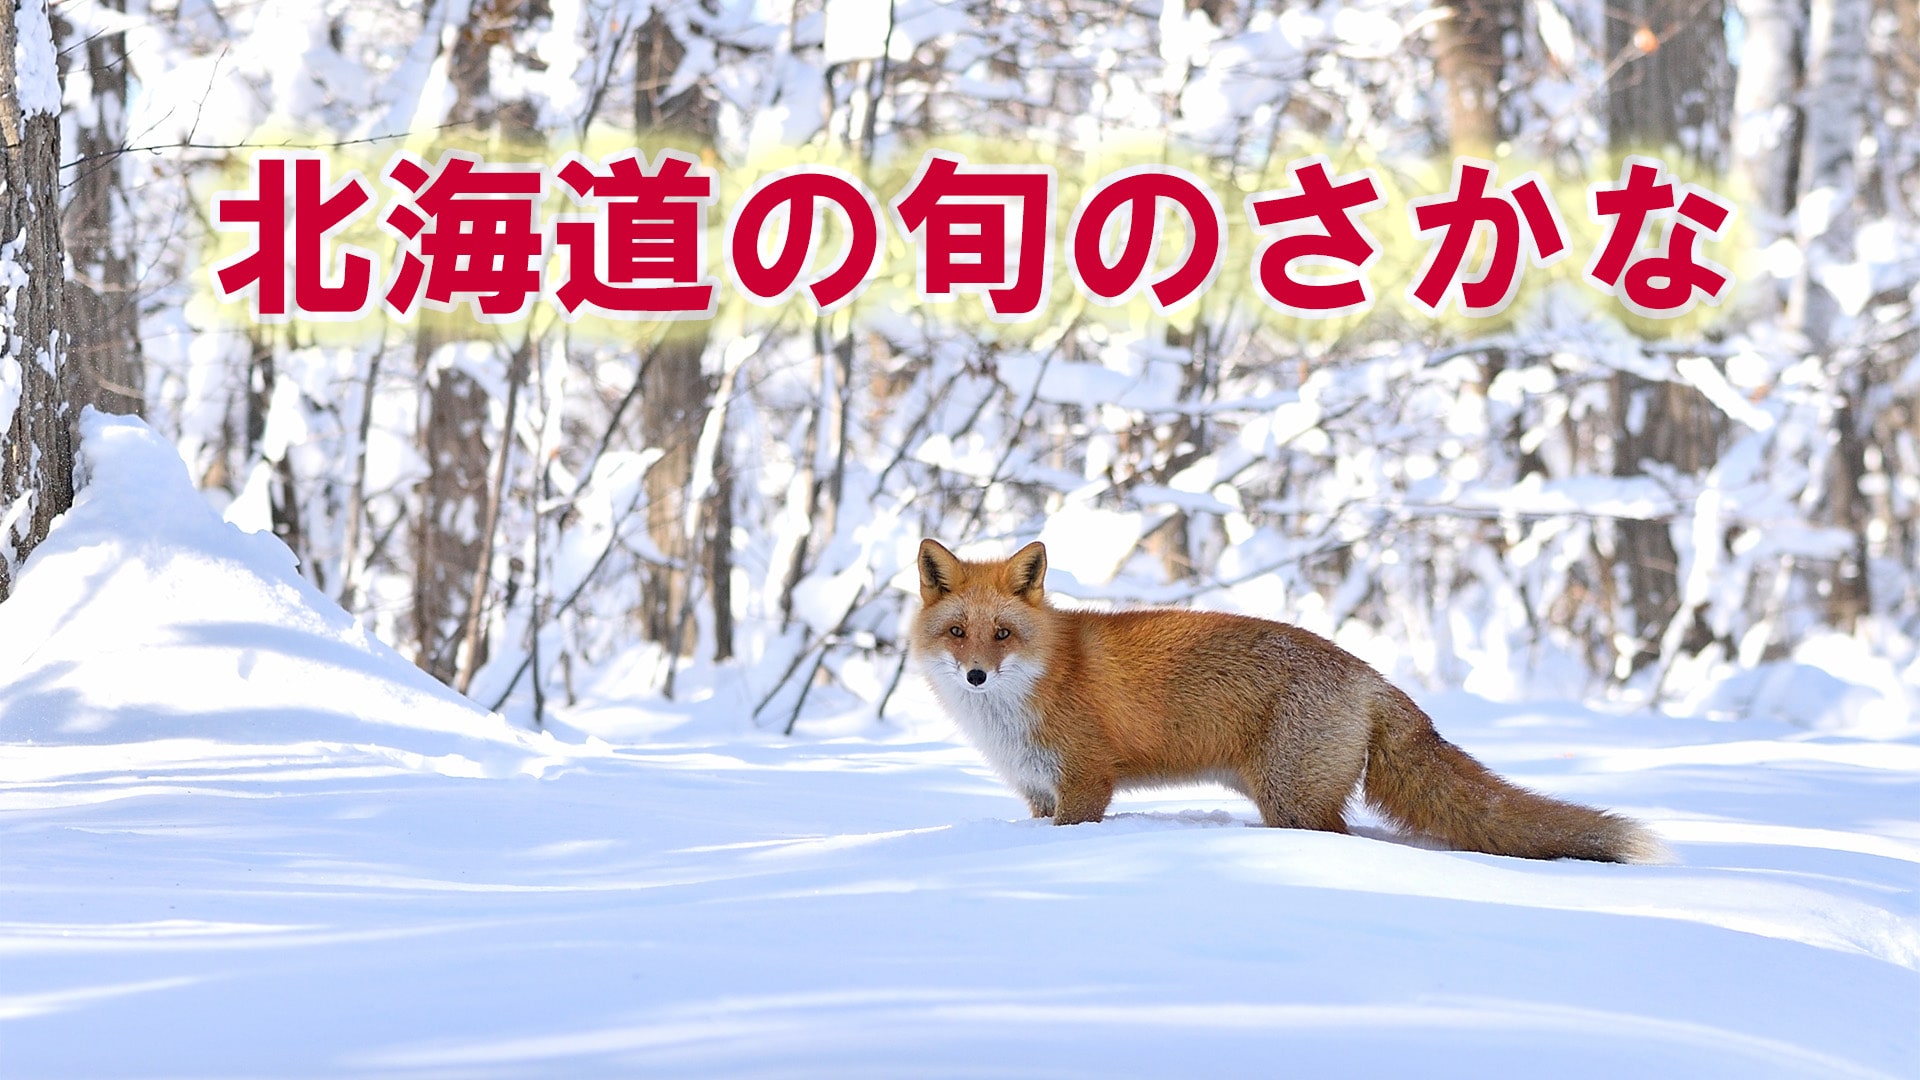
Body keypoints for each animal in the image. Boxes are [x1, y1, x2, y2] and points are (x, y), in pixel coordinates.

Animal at [910, 538, 1666, 864]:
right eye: (958, 633)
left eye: (1003, 635)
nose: (975, 677)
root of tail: (1368, 672)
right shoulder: (1041, 793)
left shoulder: (1086, 784)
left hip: (1291, 800)